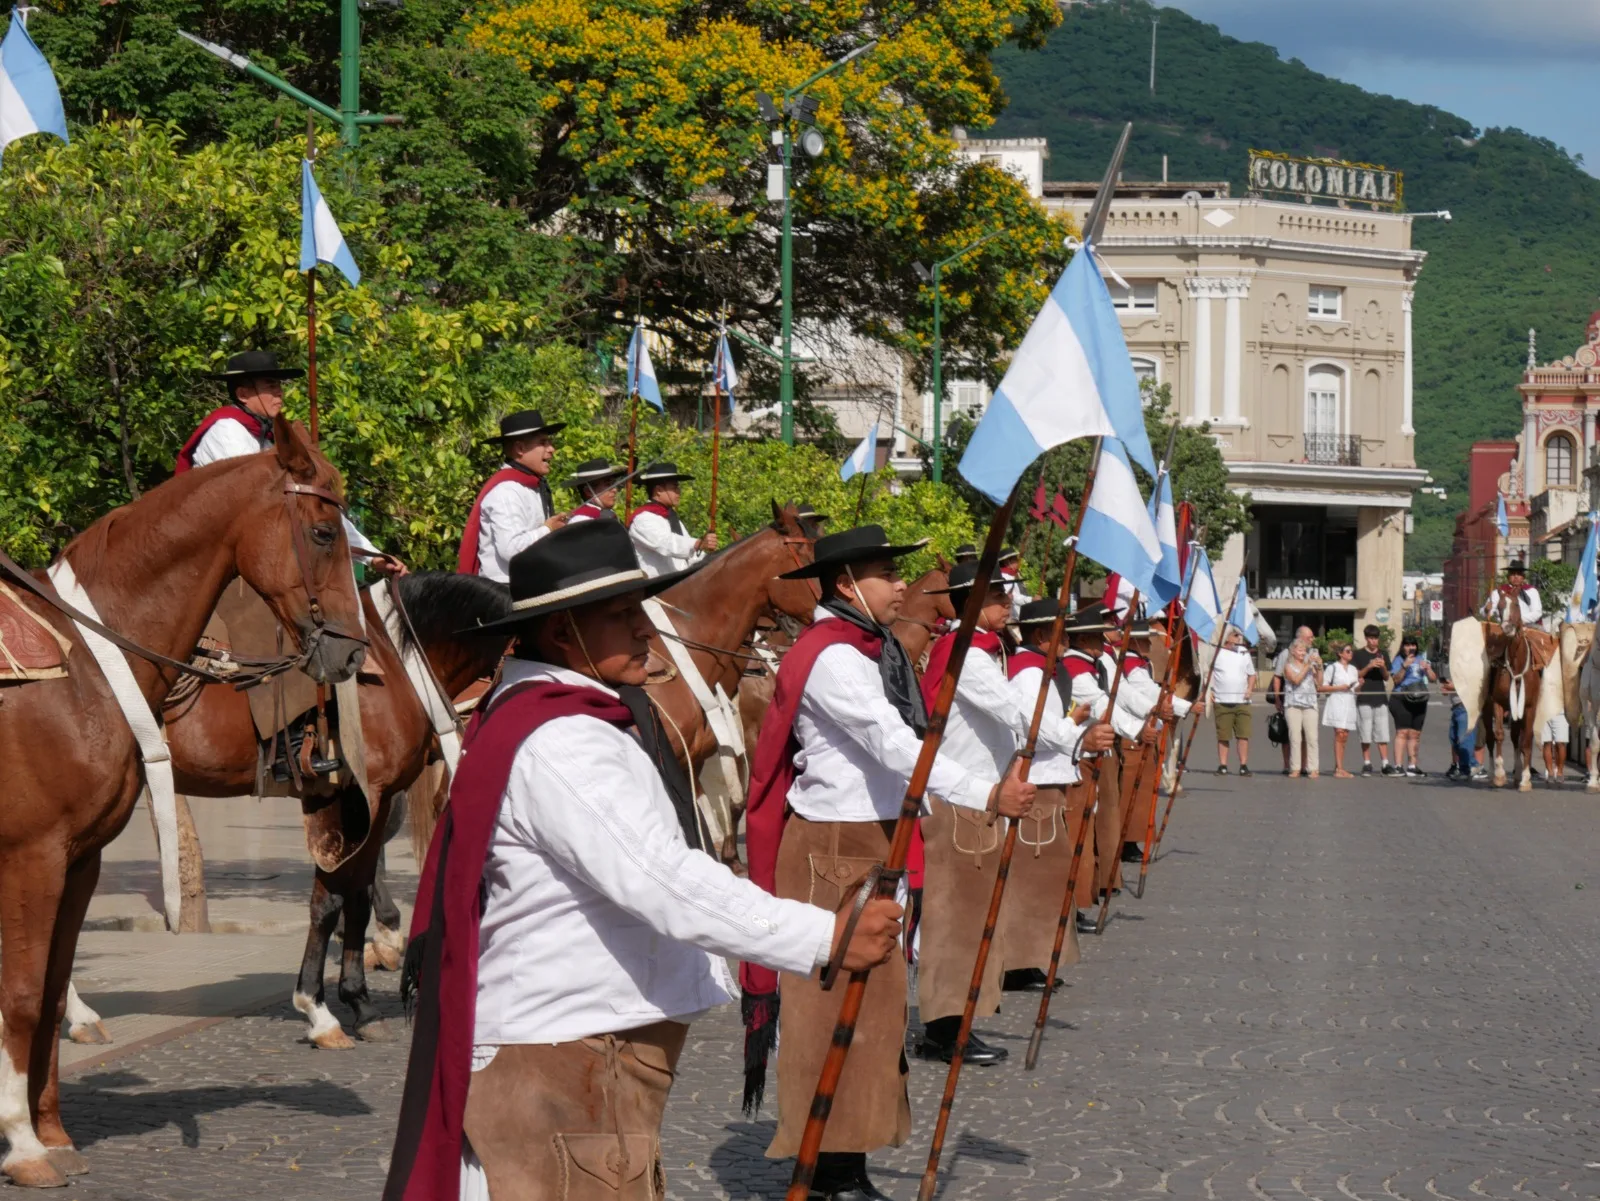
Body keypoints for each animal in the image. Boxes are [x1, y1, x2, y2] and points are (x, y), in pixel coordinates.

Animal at [0, 420, 366, 1187]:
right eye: (323, 531)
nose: (353, 653)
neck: (84, 663)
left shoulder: (78, 862)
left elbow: (49, 987)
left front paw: (51, 1131)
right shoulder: (31, 856)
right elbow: (19, 994)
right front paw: (21, 1143)